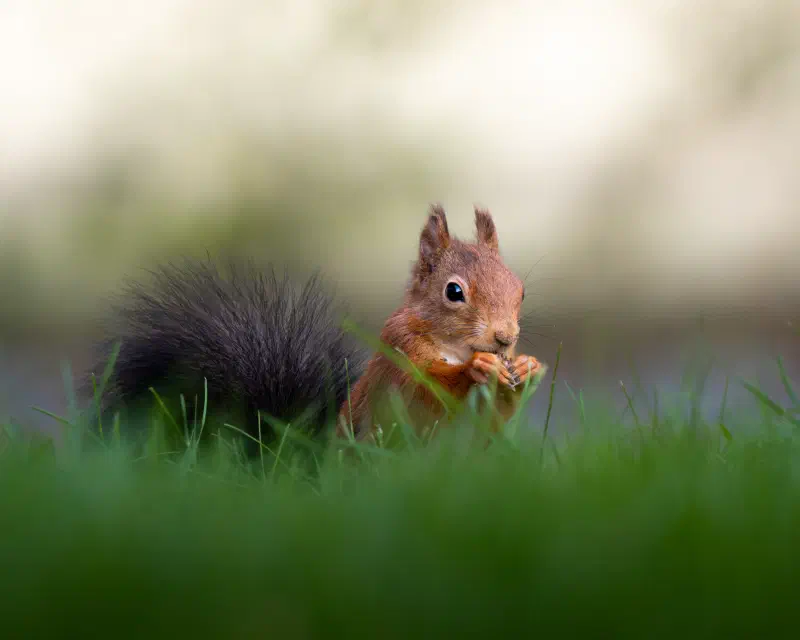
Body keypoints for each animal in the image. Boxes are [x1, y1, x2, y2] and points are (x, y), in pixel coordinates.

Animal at [87, 204, 543, 451]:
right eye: (454, 291)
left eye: (520, 290)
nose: (505, 338)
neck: (454, 345)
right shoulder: (400, 352)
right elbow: (428, 389)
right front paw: (476, 369)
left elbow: (496, 414)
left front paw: (527, 368)